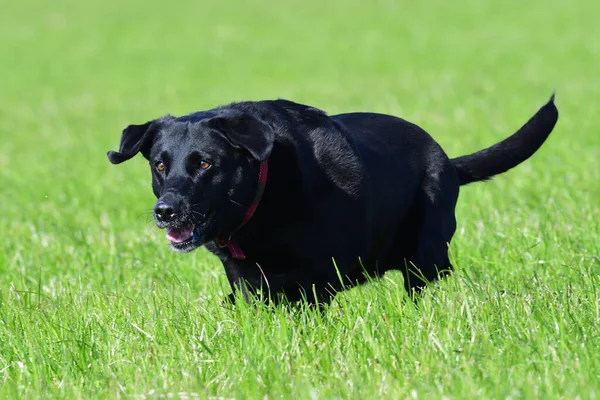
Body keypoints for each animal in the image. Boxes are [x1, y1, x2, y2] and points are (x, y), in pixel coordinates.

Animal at [106, 94, 556, 304]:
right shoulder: (246, 280)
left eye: (203, 163)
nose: (165, 211)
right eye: (160, 165)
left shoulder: (316, 280)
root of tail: (446, 158)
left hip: (425, 252)